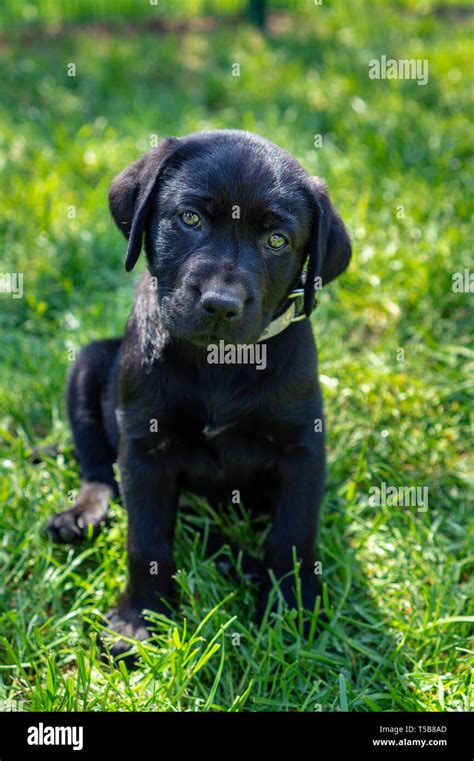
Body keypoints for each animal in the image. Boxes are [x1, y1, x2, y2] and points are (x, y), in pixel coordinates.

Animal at [49, 129, 352, 648]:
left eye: (277, 240)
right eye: (189, 218)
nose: (221, 305)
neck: (220, 362)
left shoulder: (303, 447)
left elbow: (293, 536)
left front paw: (291, 611)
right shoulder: (145, 447)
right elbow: (146, 540)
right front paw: (138, 621)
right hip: (87, 365)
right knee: (99, 470)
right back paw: (82, 515)